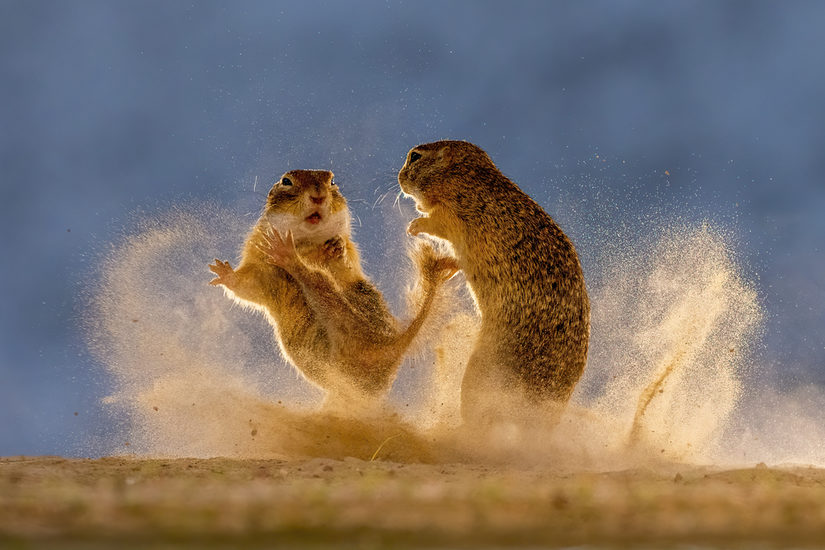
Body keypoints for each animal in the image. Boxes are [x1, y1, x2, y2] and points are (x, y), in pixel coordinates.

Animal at [208, 170, 458, 408]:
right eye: (286, 181)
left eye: (332, 181)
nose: (318, 196)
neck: (304, 241)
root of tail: (394, 345)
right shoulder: (260, 269)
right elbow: (246, 286)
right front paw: (223, 272)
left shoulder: (345, 254)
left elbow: (342, 258)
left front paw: (332, 248)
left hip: (345, 319)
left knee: (315, 278)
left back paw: (287, 254)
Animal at [398, 140, 584, 424]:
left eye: (415, 157)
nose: (399, 178)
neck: (462, 173)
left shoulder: (451, 215)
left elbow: (433, 223)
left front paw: (413, 226)